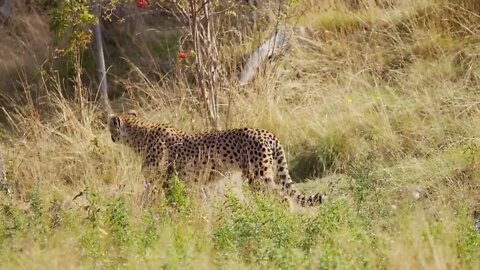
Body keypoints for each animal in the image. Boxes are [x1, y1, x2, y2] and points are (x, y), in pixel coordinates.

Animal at [106, 110, 322, 208]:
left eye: (111, 128)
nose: (111, 137)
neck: (139, 136)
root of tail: (266, 132)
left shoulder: (166, 180)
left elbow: (166, 200)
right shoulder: (192, 182)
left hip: (257, 176)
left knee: (282, 197)